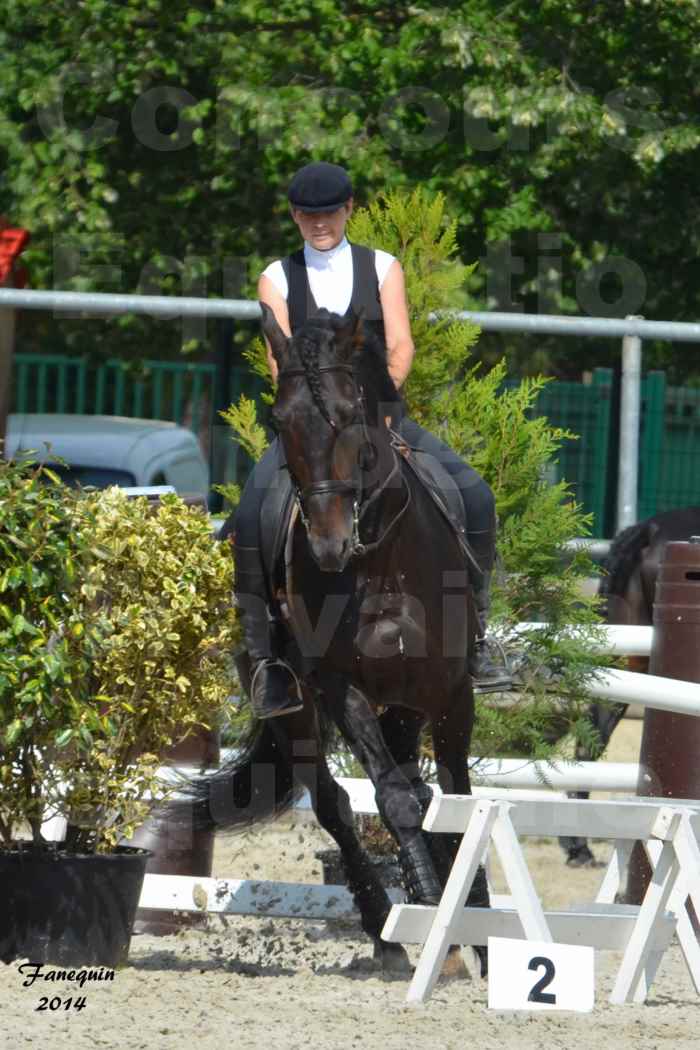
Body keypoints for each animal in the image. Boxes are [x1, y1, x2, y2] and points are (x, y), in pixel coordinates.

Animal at [192, 306, 486, 970]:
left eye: (352, 414)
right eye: (280, 420)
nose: (328, 547)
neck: (380, 562)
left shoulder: (451, 692)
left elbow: (457, 795)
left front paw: (477, 920)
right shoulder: (339, 689)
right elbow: (393, 799)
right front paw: (432, 918)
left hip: (407, 701)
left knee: (419, 783)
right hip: (297, 711)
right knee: (335, 803)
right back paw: (385, 928)